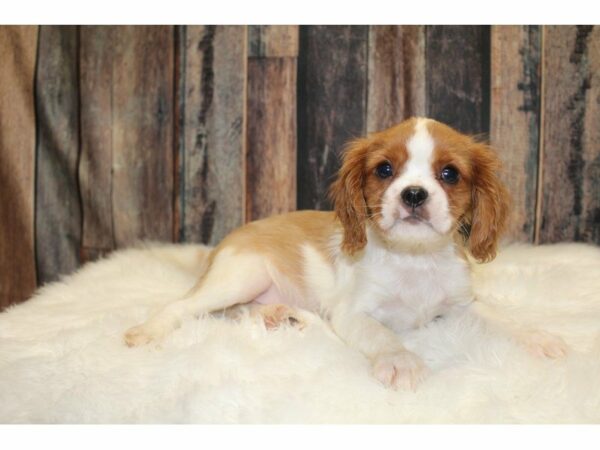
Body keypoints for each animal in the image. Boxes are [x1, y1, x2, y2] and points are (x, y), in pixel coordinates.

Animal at [124, 117, 564, 390]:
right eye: (385, 170)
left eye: (449, 174)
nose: (414, 194)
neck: (414, 258)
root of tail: (223, 244)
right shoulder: (354, 313)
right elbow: (384, 334)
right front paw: (402, 362)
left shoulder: (461, 305)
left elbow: (500, 318)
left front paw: (537, 337)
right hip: (243, 275)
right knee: (185, 307)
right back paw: (148, 331)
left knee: (232, 314)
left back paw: (278, 316)